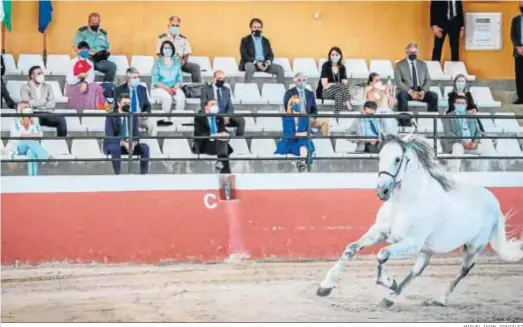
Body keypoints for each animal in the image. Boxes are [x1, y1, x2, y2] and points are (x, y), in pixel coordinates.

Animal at [318, 133, 520, 308]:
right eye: (380, 157)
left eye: (397, 159)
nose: (382, 191)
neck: (403, 204)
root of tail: (494, 202)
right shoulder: (379, 232)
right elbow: (351, 249)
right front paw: (324, 288)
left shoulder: (411, 243)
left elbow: (382, 254)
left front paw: (389, 281)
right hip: (427, 249)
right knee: (417, 270)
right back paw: (389, 298)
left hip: (473, 248)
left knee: (462, 272)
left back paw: (439, 300)